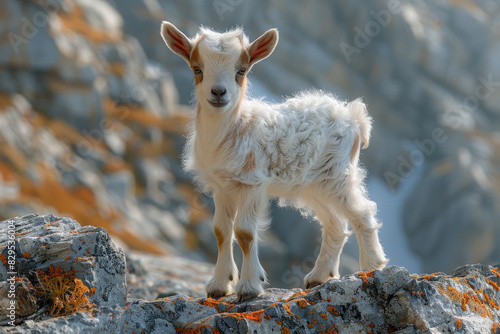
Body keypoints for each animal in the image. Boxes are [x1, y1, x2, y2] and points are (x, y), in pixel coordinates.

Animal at [162, 22, 388, 302]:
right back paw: (319, 276)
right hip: (315, 185)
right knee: (335, 224)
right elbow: (221, 231)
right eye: (197, 68)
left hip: (338, 175)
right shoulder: (222, 186)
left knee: (362, 212)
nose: (218, 93)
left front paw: (249, 287)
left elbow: (245, 233)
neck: (233, 130)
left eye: (241, 70)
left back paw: (371, 266)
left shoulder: (251, 182)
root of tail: (355, 118)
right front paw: (218, 285)